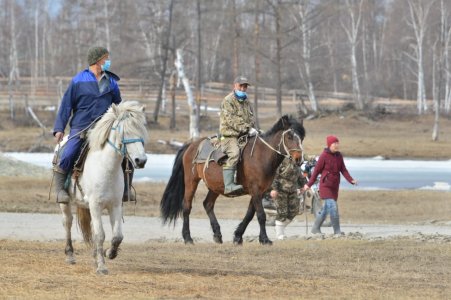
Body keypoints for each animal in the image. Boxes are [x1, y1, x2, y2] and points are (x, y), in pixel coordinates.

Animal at [59, 101, 148, 274]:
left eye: (142, 130)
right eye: (124, 131)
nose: (141, 160)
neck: (106, 168)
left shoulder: (115, 205)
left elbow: (117, 235)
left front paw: (109, 253)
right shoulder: (95, 205)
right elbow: (100, 235)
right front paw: (101, 266)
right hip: (65, 204)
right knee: (68, 223)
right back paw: (70, 255)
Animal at [161, 115, 306, 244]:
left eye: (301, 138)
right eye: (289, 136)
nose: (299, 159)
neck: (261, 156)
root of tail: (191, 145)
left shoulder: (259, 192)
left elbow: (249, 215)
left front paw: (238, 236)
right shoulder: (255, 190)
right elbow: (261, 215)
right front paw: (264, 239)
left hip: (215, 187)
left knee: (208, 204)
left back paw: (217, 235)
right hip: (191, 181)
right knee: (187, 207)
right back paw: (188, 238)